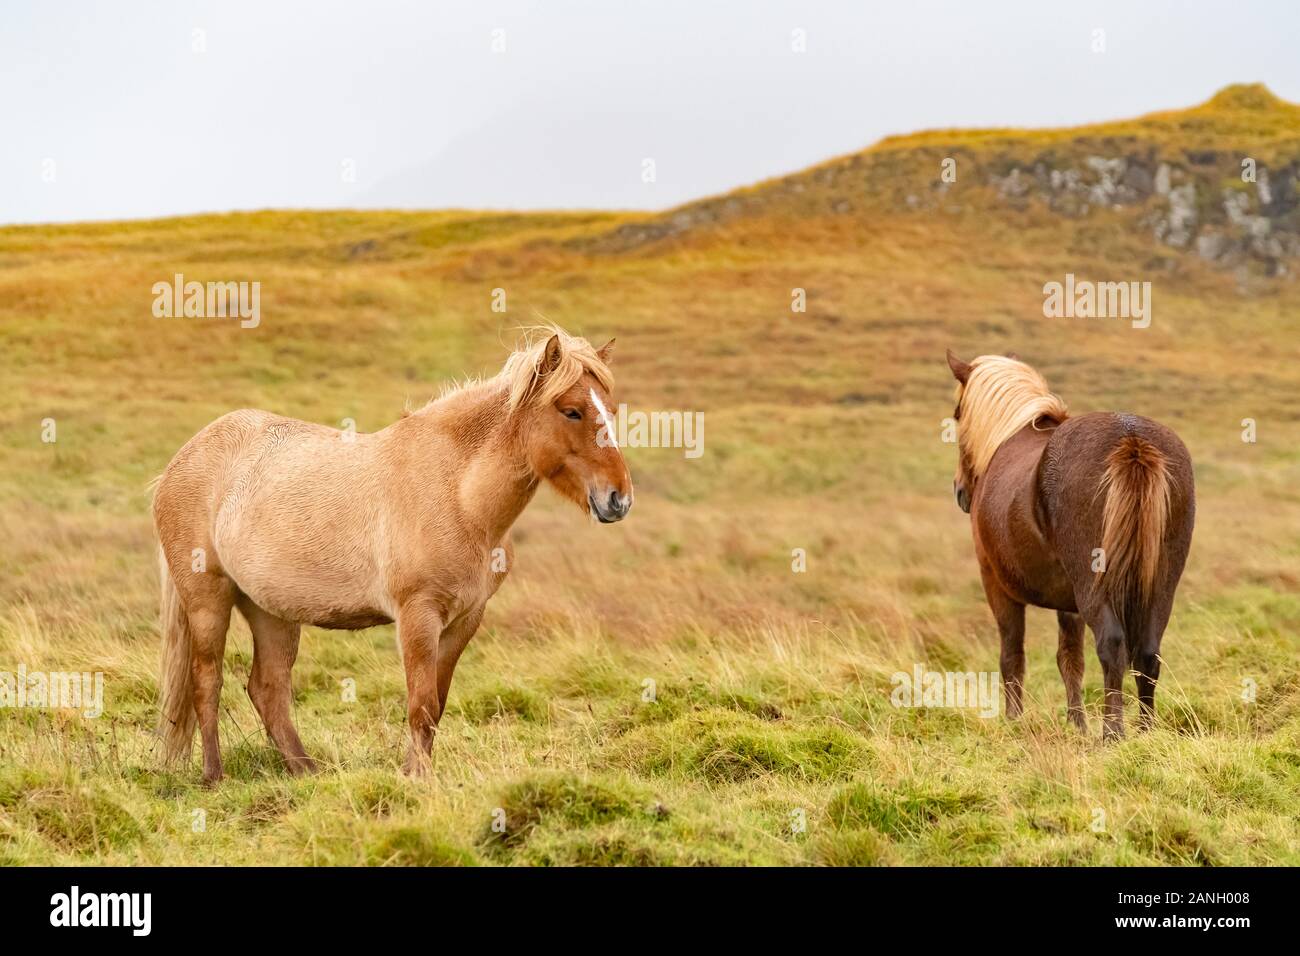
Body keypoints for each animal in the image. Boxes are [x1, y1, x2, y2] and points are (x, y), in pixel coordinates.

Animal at [154, 330, 631, 785]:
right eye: (571, 411)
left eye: (610, 410)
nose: (618, 500)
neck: (458, 495)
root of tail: (180, 461)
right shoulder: (418, 617)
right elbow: (421, 706)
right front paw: (417, 782)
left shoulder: (465, 620)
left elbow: (436, 707)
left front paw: (414, 775)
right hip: (208, 599)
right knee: (207, 681)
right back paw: (214, 776)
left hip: (270, 610)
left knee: (267, 688)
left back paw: (306, 774)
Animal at [951, 351, 1190, 738]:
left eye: (957, 413)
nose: (959, 490)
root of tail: (1131, 437)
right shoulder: (1070, 604)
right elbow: (1070, 660)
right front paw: (1077, 724)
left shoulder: (997, 586)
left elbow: (1012, 656)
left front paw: (1014, 723)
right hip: (1160, 585)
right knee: (1147, 652)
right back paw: (1145, 732)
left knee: (1111, 646)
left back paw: (1113, 733)